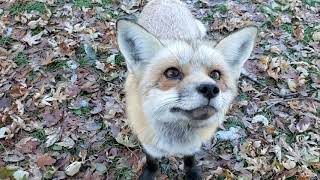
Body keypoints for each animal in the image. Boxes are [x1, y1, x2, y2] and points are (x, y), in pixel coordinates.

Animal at [115, 0, 258, 179]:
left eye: (215, 75)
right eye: (171, 73)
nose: (210, 89)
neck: (176, 142)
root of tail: (164, 2)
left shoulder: (192, 147)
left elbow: (190, 162)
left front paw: (192, 174)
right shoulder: (149, 145)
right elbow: (152, 164)